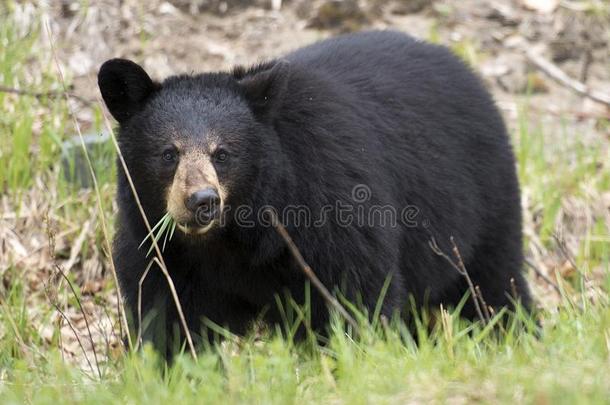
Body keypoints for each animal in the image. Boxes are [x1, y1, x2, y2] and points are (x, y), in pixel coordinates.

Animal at [98, 30, 528, 354]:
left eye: (223, 153)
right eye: (168, 153)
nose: (203, 201)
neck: (232, 239)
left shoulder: (328, 209)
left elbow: (356, 291)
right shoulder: (160, 248)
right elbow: (167, 315)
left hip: (481, 205)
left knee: (492, 283)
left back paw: (514, 334)